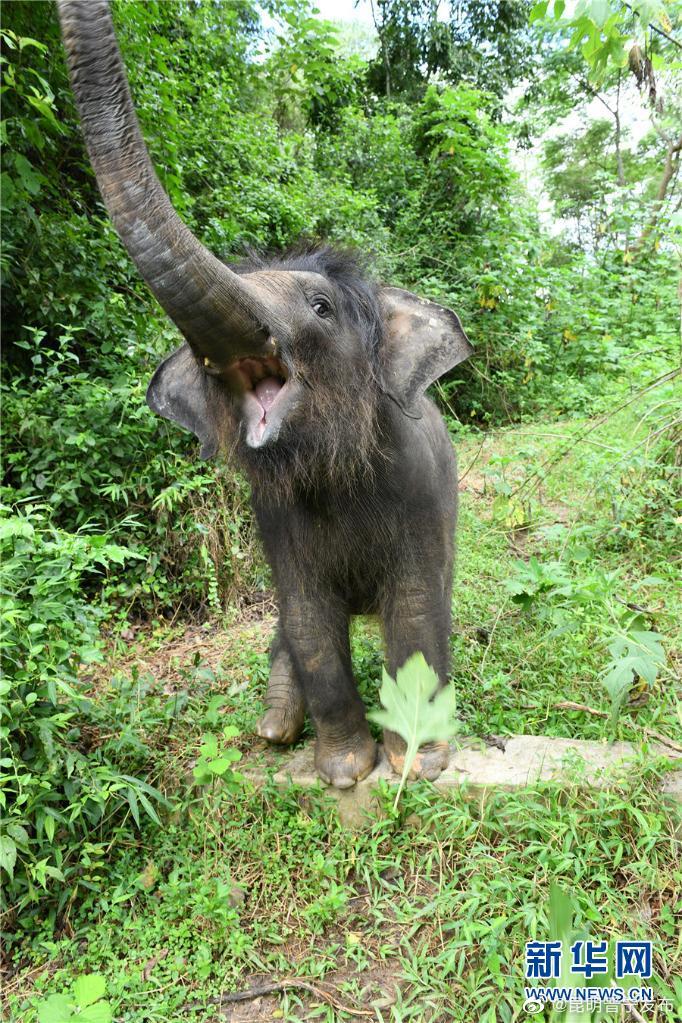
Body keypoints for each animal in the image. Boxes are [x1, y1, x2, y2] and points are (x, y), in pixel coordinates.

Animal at [58, 0, 473, 789]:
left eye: (320, 307)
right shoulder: (273, 515)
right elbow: (307, 618)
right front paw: (342, 770)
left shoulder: (420, 493)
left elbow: (414, 610)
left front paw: (418, 764)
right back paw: (276, 726)